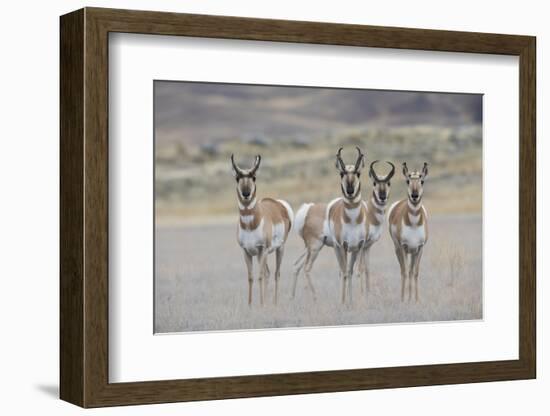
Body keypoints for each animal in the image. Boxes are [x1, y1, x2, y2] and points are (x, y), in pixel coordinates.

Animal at [232, 154, 296, 306]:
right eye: (237, 177)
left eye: (254, 177)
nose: (246, 193)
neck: (251, 224)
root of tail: (279, 204)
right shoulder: (246, 252)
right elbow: (251, 277)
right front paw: (250, 305)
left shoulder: (263, 249)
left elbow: (260, 276)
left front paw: (261, 304)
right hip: (262, 254)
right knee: (268, 273)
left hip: (279, 249)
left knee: (276, 273)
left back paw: (274, 303)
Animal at [294, 147, 366, 302]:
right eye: (341, 173)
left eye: (358, 173)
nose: (350, 191)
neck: (352, 220)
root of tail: (308, 209)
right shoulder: (341, 247)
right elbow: (344, 272)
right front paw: (343, 302)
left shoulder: (357, 247)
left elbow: (351, 272)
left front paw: (352, 301)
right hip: (315, 247)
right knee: (307, 268)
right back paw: (315, 298)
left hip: (310, 249)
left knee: (297, 266)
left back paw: (293, 297)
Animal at [358, 161, 396, 298]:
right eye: (374, 182)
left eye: (389, 182)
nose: (382, 196)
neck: (369, 213)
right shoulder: (360, 246)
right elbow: (359, 268)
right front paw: (361, 294)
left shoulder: (367, 246)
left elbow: (367, 268)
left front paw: (368, 293)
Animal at [388, 162, 432, 302]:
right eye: (408, 181)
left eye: (422, 181)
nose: (414, 195)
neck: (413, 224)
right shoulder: (404, 247)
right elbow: (406, 272)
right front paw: (404, 300)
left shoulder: (420, 248)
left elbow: (415, 273)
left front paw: (416, 300)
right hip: (399, 249)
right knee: (403, 271)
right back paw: (404, 297)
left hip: (413, 252)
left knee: (411, 271)